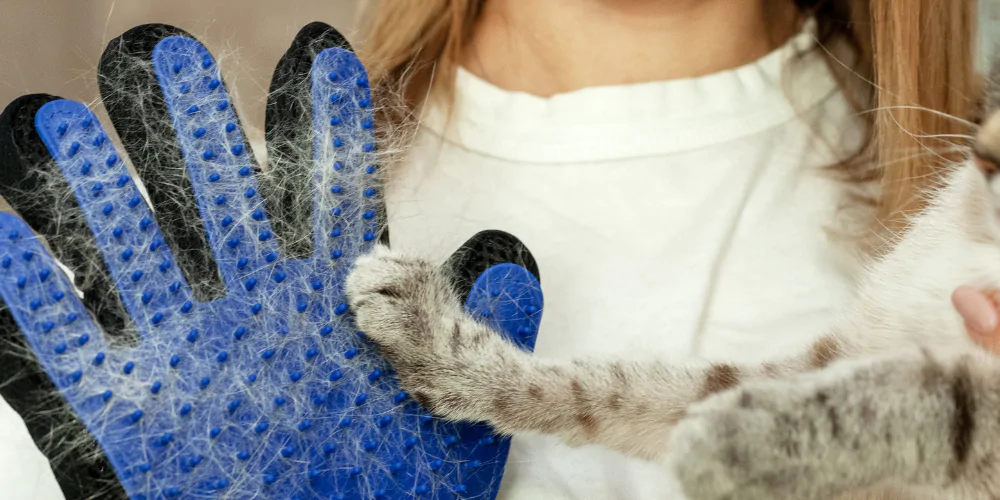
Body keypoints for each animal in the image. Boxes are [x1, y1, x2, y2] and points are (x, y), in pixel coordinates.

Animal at [346, 113, 1000, 500]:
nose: (987, 154)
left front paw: (742, 441)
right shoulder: (837, 354)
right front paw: (430, 333)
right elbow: (612, 388)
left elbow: (939, 409)